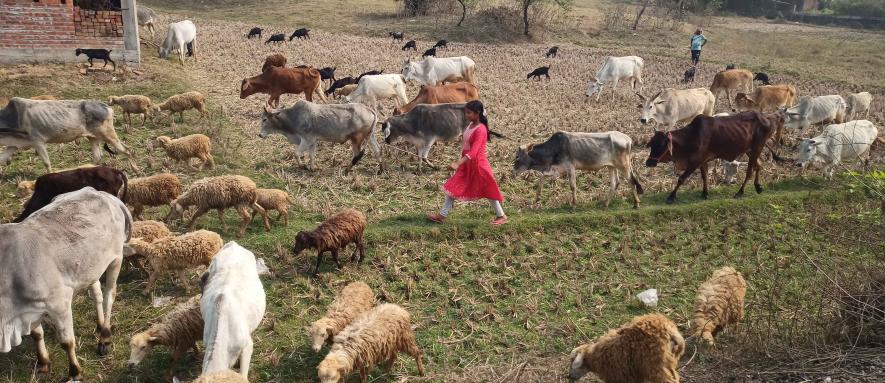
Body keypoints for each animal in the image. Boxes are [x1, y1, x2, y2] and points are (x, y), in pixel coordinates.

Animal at [0, 97, 138, 173]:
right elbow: (2, 159)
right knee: (97, 156)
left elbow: (46, 163)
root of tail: (106, 106)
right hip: (93, 137)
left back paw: (135, 169)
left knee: (127, 150)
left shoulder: (38, 142)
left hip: (108, 135)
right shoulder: (13, 145)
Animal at [0, 188, 131, 382]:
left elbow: (67, 343)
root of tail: (104, 195)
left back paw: (105, 337)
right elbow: (37, 334)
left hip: (116, 259)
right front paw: (43, 363)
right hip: (91, 268)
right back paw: (99, 325)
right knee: (97, 295)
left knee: (109, 296)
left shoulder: (60, 305)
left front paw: (75, 373)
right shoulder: (29, 311)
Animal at [512, 132, 644, 210]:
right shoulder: (556, 169)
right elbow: (541, 179)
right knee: (615, 183)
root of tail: (628, 139)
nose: (513, 172)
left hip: (624, 165)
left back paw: (636, 203)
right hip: (611, 166)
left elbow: (573, 186)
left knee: (631, 181)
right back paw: (605, 204)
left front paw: (574, 205)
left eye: (517, 156)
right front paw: (537, 199)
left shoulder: (570, 167)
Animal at [644, 111, 784, 204]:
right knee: (759, 165)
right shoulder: (702, 160)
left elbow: (681, 178)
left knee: (750, 171)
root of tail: (767, 117)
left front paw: (671, 197)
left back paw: (740, 192)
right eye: (651, 144)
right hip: (751, 150)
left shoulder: (695, 161)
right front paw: (705, 193)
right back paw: (758, 187)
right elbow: (704, 176)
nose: (648, 163)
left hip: (757, 148)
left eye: (660, 145)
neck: (691, 136)